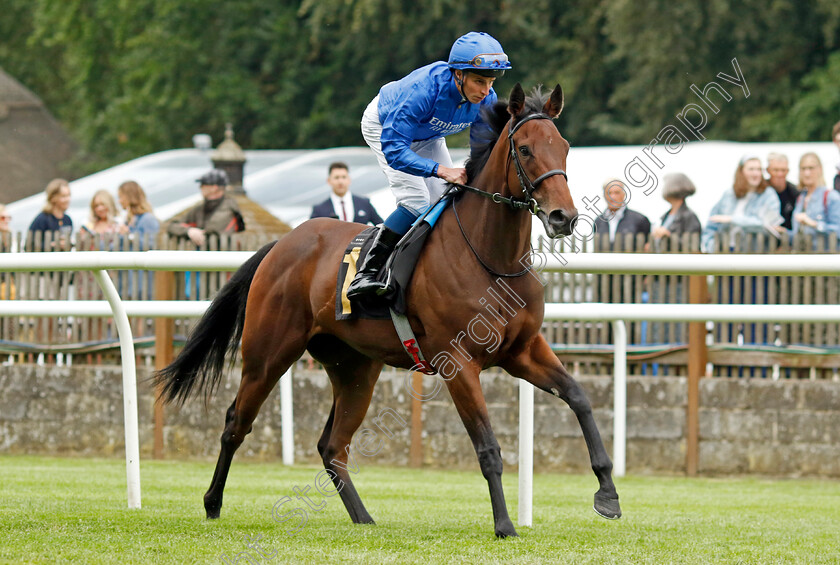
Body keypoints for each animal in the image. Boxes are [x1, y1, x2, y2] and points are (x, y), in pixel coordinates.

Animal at [154, 83, 620, 536]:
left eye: (564, 147)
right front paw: (505, 525)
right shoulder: (458, 362)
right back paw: (212, 504)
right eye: (524, 149)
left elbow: (580, 398)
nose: (563, 217)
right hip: (268, 354)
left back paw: (363, 518)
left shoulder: (522, 351)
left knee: (332, 445)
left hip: (355, 367)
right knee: (237, 423)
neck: (491, 258)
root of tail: (282, 242)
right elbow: (487, 445)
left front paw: (608, 494)